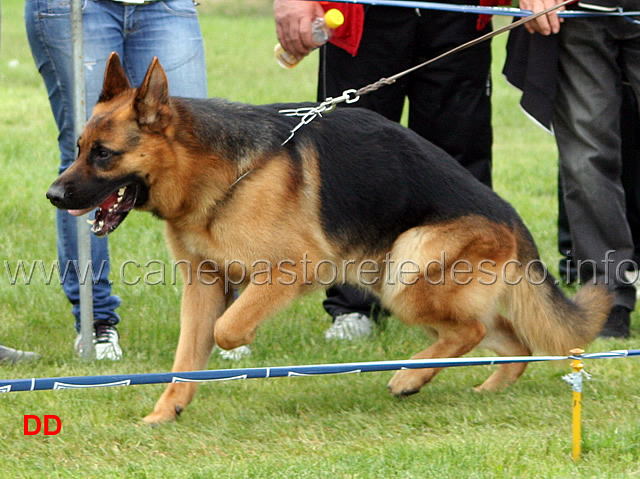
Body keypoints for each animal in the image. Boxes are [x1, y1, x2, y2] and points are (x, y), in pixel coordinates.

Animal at [46, 54, 608, 426]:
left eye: (103, 154)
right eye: (79, 147)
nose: (53, 195)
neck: (217, 172)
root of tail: (512, 220)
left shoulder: (292, 270)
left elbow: (227, 328)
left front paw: (239, 345)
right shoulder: (202, 286)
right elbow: (185, 359)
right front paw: (167, 411)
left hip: (406, 271)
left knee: (471, 330)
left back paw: (409, 377)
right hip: (400, 282)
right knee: (511, 339)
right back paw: (482, 385)